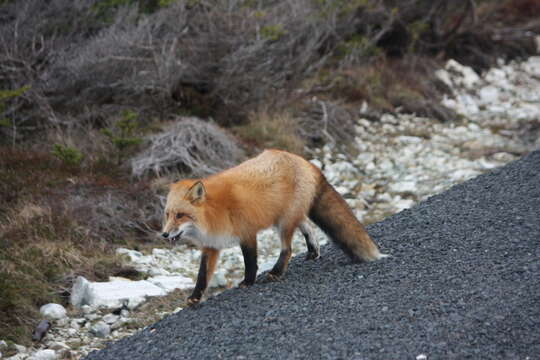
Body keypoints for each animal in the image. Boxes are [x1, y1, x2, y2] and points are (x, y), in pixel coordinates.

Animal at [161, 149, 388, 304]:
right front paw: (195, 297)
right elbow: (202, 275)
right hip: (287, 217)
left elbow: (250, 262)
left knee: (288, 249)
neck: (214, 213)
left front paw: (248, 282)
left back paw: (277, 272)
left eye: (180, 215)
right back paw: (313, 251)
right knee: (307, 226)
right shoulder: (211, 246)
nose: (164, 234)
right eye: (168, 215)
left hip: (283, 224)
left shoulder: (247, 232)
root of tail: (303, 160)